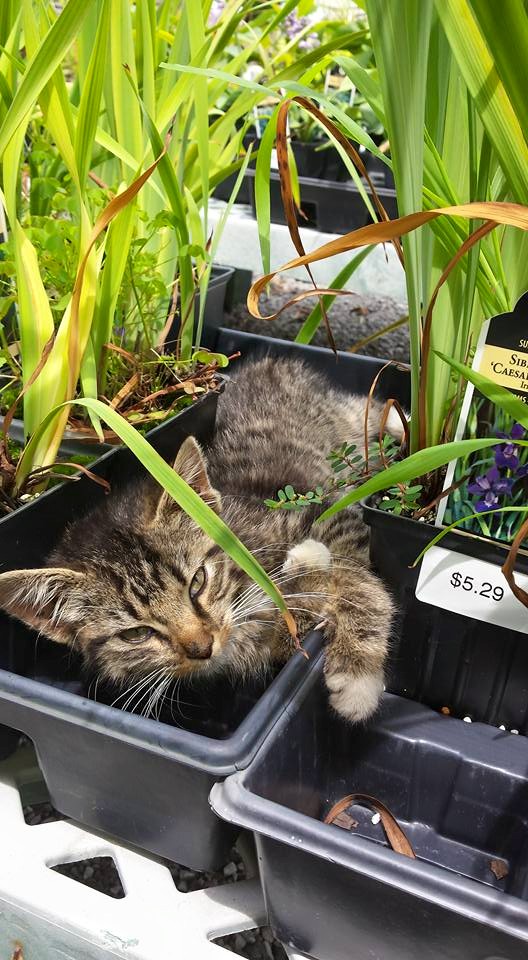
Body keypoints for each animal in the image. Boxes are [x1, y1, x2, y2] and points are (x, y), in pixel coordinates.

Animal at [0, 358, 398, 720]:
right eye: (136, 634)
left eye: (198, 583)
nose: (202, 648)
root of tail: (268, 361)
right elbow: (301, 608)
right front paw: (305, 575)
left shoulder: (325, 511)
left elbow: (357, 579)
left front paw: (356, 678)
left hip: (343, 429)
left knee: (365, 409)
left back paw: (395, 420)